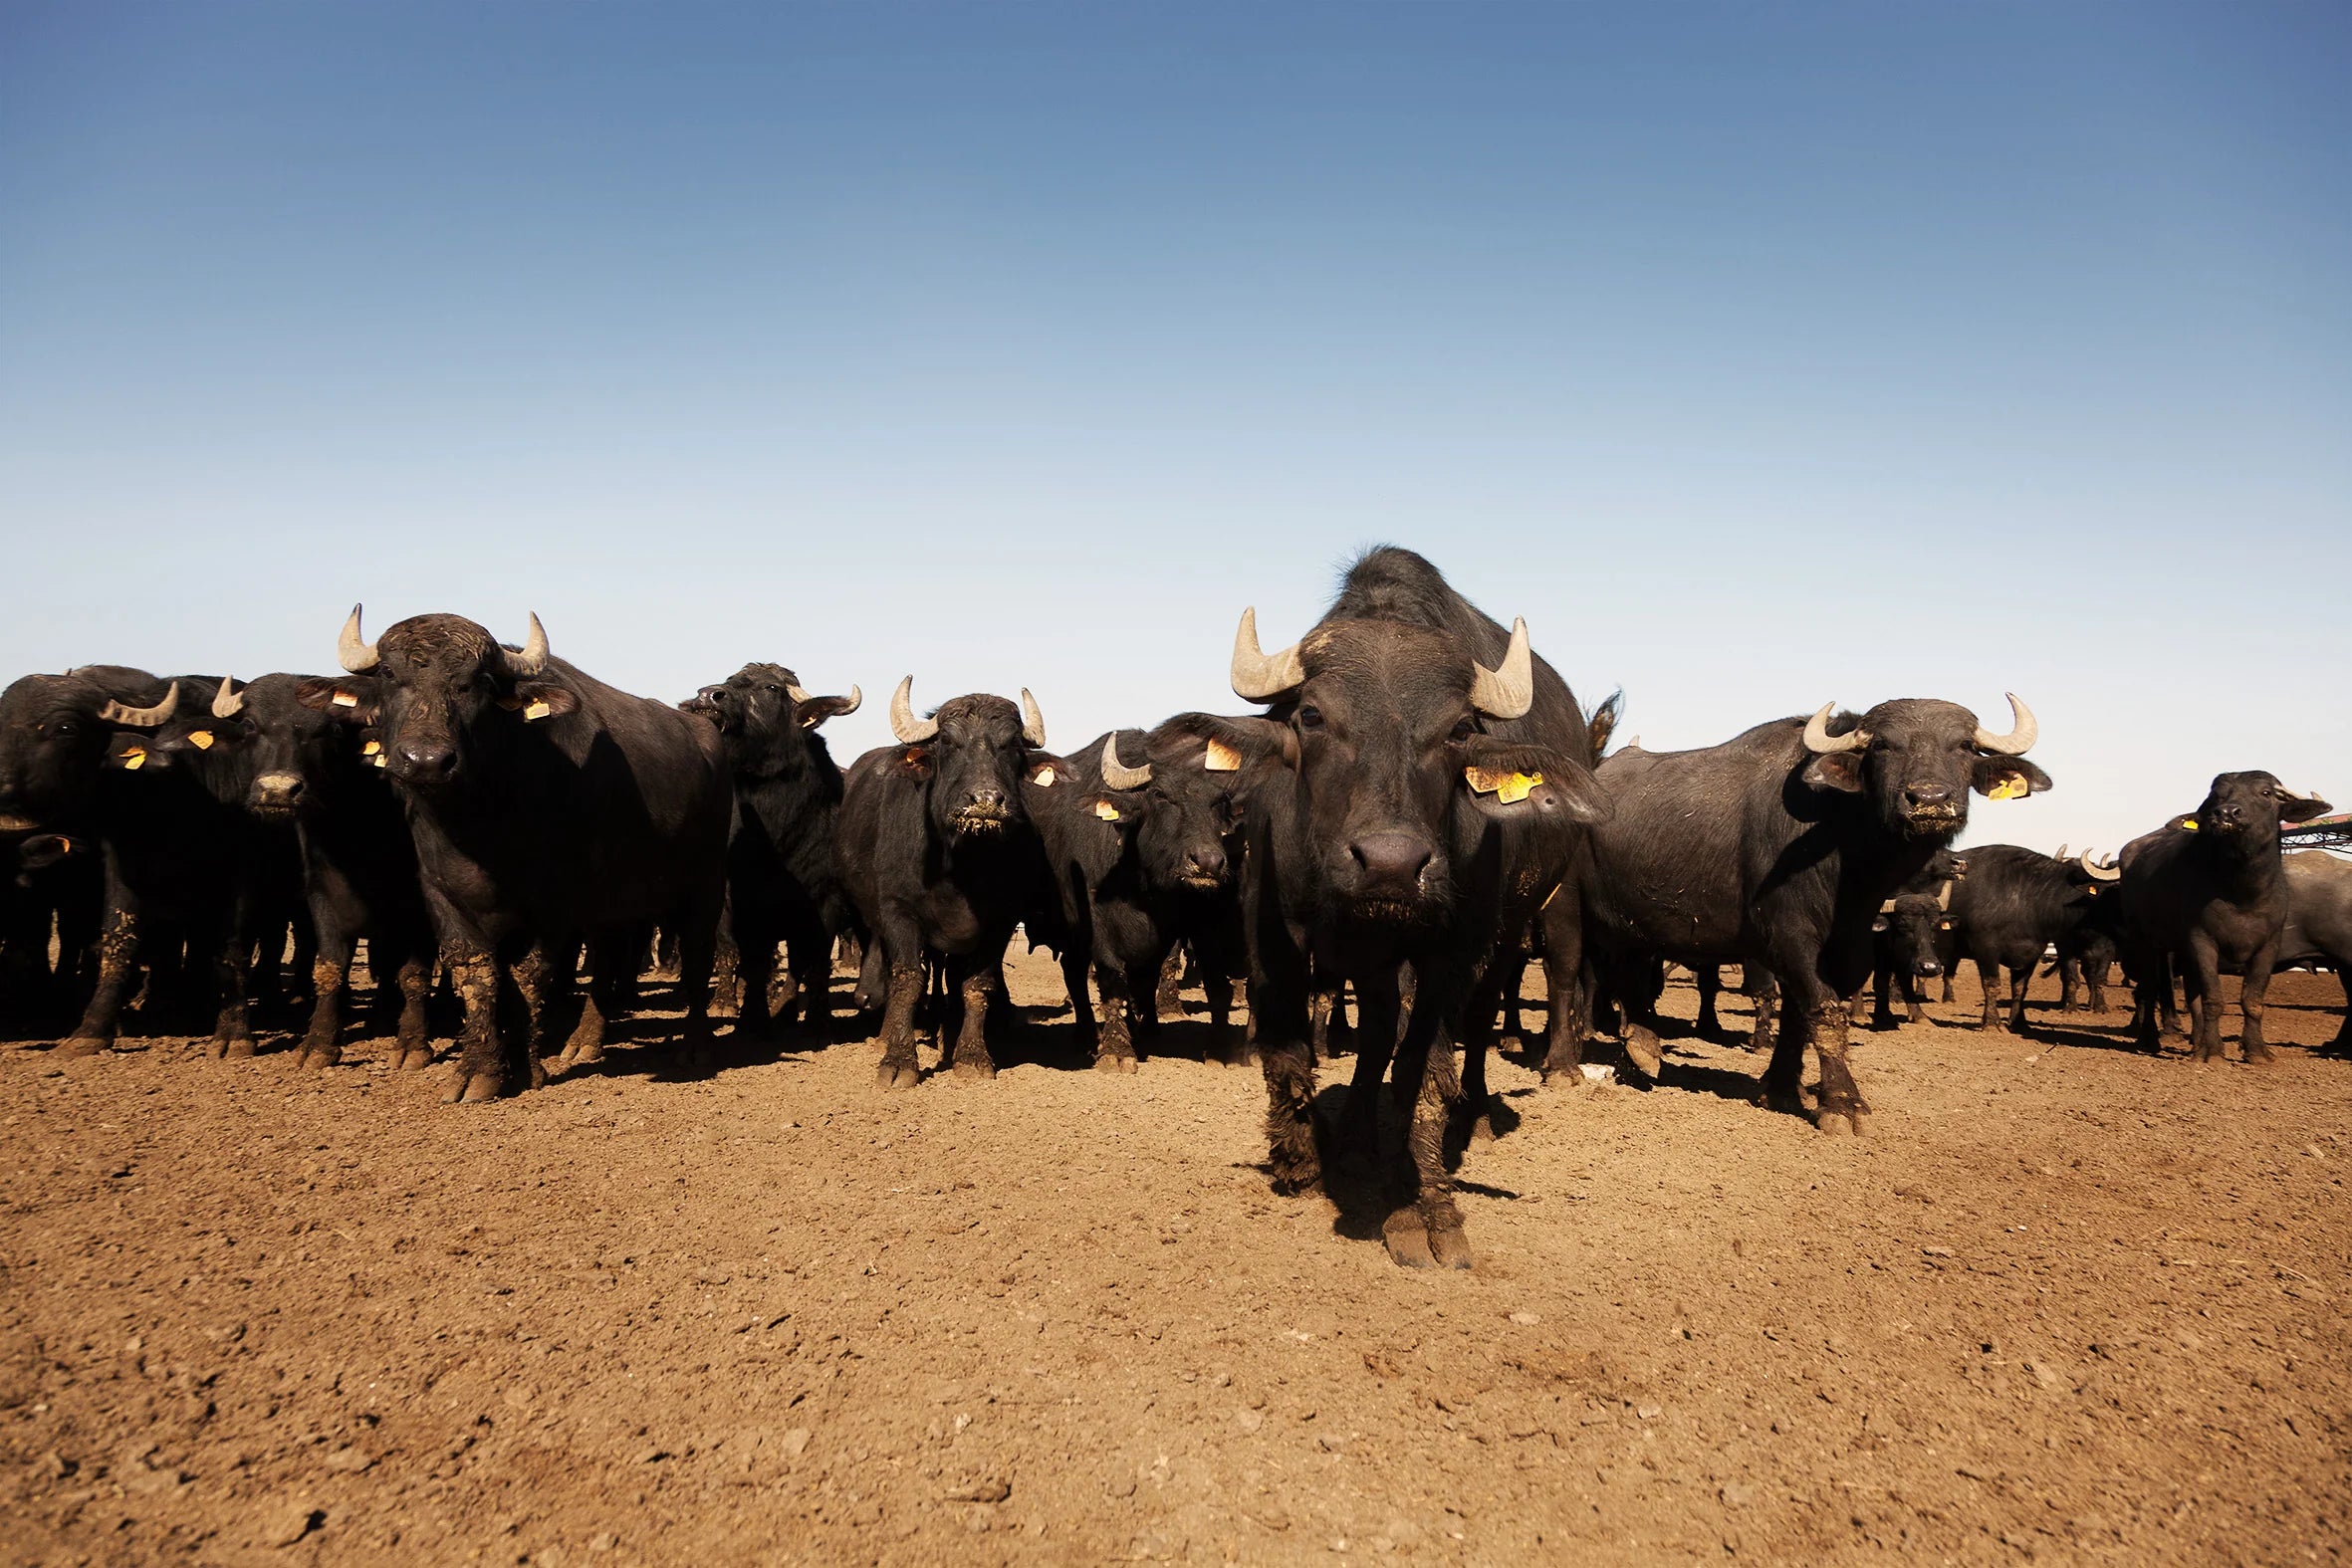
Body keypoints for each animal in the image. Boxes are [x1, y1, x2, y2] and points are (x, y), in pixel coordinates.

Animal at [322, 606, 724, 1100]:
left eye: (477, 681)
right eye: (388, 674)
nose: (426, 761)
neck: (481, 823)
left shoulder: (552, 907)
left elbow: (530, 975)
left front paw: (526, 1068)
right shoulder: (442, 896)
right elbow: (478, 975)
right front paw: (480, 1070)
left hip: (705, 886)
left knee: (697, 959)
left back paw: (696, 1045)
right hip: (614, 905)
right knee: (607, 964)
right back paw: (585, 1041)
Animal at [681, 667, 865, 1043]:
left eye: (772, 688)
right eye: (730, 679)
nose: (709, 696)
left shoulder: (825, 899)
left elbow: (814, 959)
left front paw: (816, 1020)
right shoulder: (742, 900)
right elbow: (752, 959)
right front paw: (751, 1019)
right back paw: (726, 1001)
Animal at [832, 677, 1044, 1090]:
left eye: (1011, 745)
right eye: (948, 742)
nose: (985, 801)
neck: (960, 869)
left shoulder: (1000, 923)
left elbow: (976, 985)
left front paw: (971, 1056)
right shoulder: (899, 912)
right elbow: (907, 979)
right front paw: (899, 1060)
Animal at [1580, 695, 2060, 1128]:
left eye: (1963, 745)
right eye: (1882, 746)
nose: (1929, 799)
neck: (1845, 855)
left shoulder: (1847, 943)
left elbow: (1799, 1016)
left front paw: (1781, 1089)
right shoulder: (1789, 938)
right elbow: (1825, 1012)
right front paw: (1842, 1104)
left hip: (1639, 928)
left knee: (1634, 980)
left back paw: (1641, 1050)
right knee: (1610, 980)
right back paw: (1635, 1048)